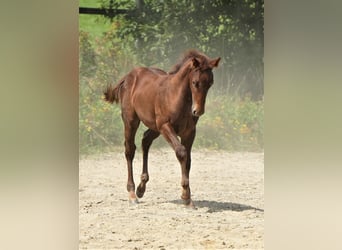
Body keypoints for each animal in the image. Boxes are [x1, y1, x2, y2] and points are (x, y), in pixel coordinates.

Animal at [104, 50, 220, 207]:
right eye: (195, 83)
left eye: (210, 83)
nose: (197, 111)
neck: (176, 96)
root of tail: (128, 76)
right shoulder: (165, 126)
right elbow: (181, 152)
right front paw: (185, 195)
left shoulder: (189, 132)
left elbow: (188, 160)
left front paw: (188, 199)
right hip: (131, 121)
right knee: (130, 150)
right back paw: (132, 194)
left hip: (154, 127)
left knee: (145, 140)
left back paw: (141, 188)